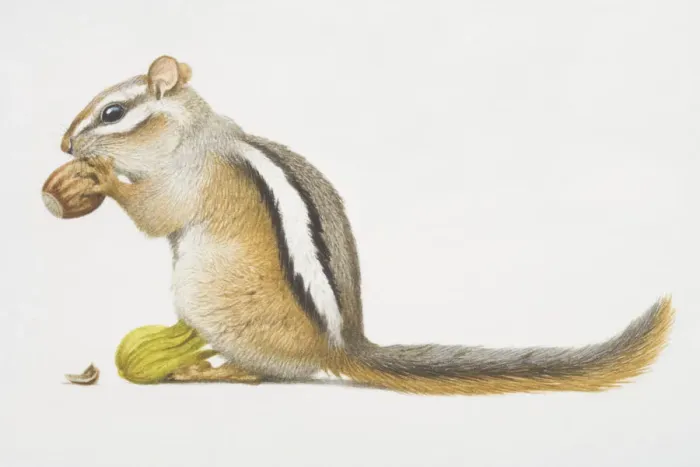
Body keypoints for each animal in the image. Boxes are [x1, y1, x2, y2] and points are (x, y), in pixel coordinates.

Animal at [59, 55, 674, 395]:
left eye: (112, 112)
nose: (65, 144)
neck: (197, 134)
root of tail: (343, 349)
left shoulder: (191, 182)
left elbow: (154, 212)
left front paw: (102, 175)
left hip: (206, 300)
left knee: (266, 374)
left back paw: (202, 371)